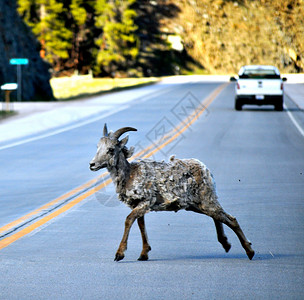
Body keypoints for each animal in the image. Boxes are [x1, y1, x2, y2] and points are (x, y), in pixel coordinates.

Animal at [89, 123, 254, 260]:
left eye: (111, 150)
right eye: (97, 147)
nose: (92, 164)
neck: (129, 174)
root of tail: (205, 169)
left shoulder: (144, 203)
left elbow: (129, 220)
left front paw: (119, 254)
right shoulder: (139, 206)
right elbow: (141, 225)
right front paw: (143, 254)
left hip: (206, 201)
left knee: (231, 219)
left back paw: (249, 252)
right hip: (196, 206)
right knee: (218, 217)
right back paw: (226, 244)